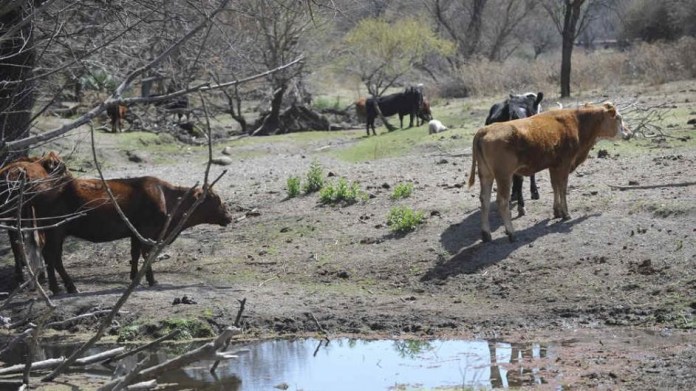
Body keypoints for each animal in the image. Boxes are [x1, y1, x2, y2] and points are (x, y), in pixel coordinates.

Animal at [31, 173, 232, 296]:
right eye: (217, 200)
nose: (229, 217)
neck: (167, 199)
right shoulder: (147, 232)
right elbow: (146, 254)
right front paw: (152, 280)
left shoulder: (135, 233)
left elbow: (134, 254)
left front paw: (135, 277)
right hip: (56, 230)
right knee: (53, 256)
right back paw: (66, 287)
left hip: (54, 231)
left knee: (50, 256)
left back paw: (58, 288)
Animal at [468, 102, 632, 243]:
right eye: (619, 118)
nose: (629, 133)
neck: (577, 123)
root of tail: (485, 129)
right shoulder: (565, 163)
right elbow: (563, 187)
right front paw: (566, 213)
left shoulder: (554, 165)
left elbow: (555, 186)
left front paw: (557, 211)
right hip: (504, 175)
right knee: (502, 201)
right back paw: (511, 233)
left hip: (486, 174)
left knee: (484, 199)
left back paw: (486, 234)